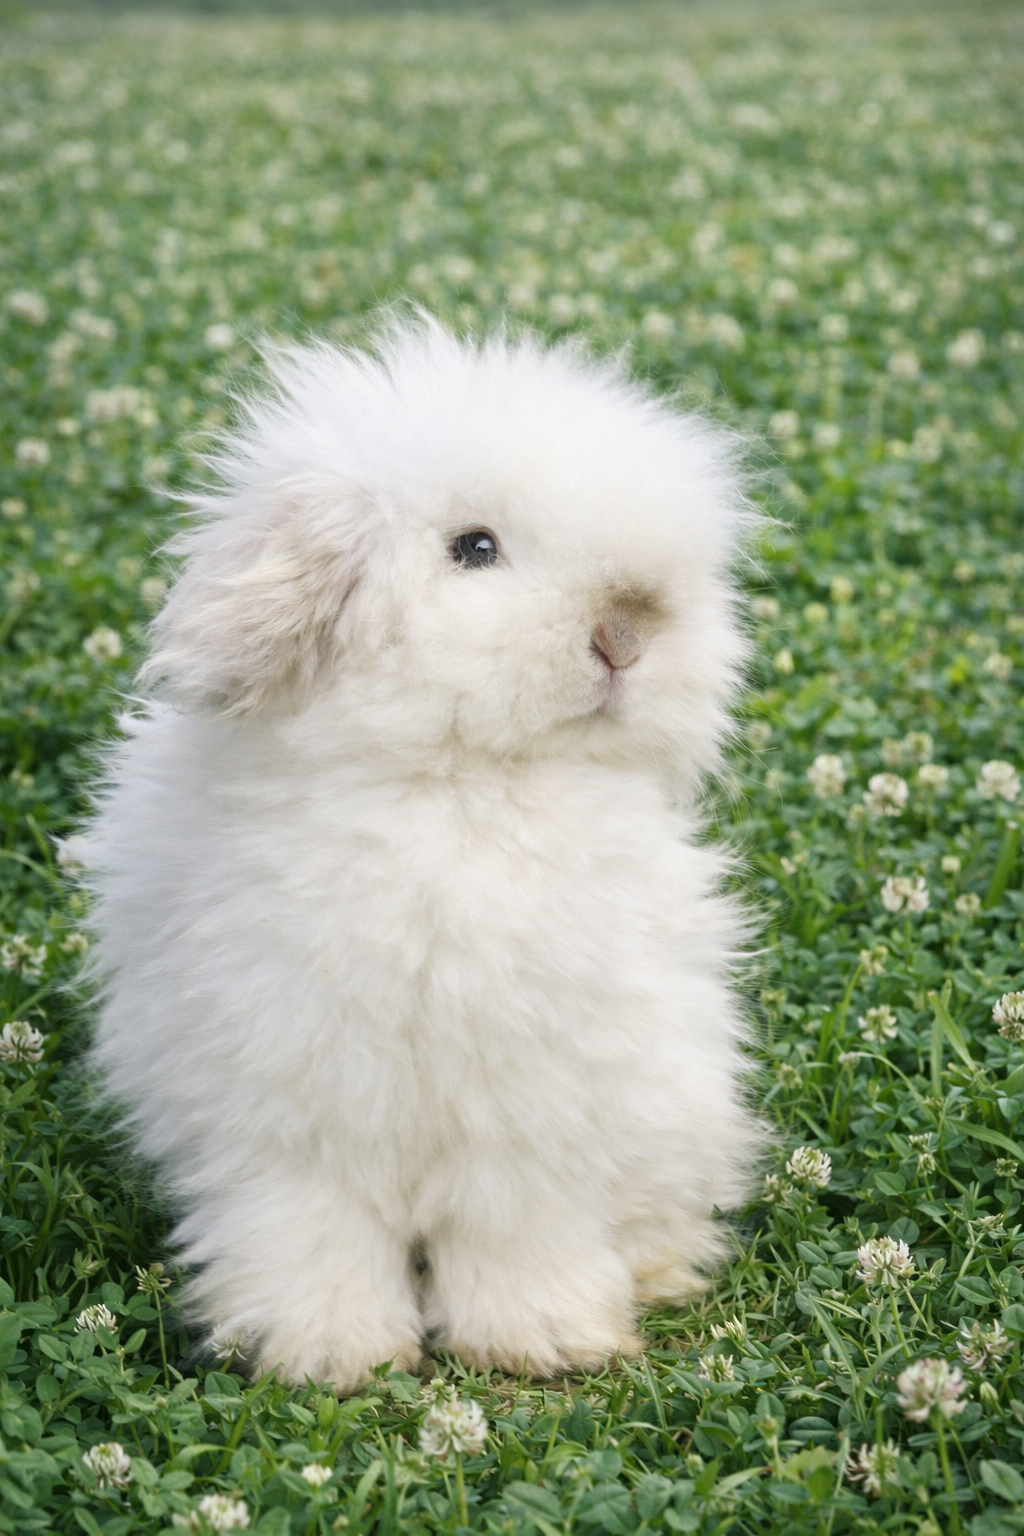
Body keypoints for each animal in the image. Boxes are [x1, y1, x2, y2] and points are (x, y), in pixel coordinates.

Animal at [85, 317, 761, 1392]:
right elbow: (308, 1233)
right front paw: (322, 1355)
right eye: (473, 548)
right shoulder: (288, 1105)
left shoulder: (533, 1109)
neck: (455, 785)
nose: (629, 628)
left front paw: (542, 1343)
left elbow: (519, 1233)